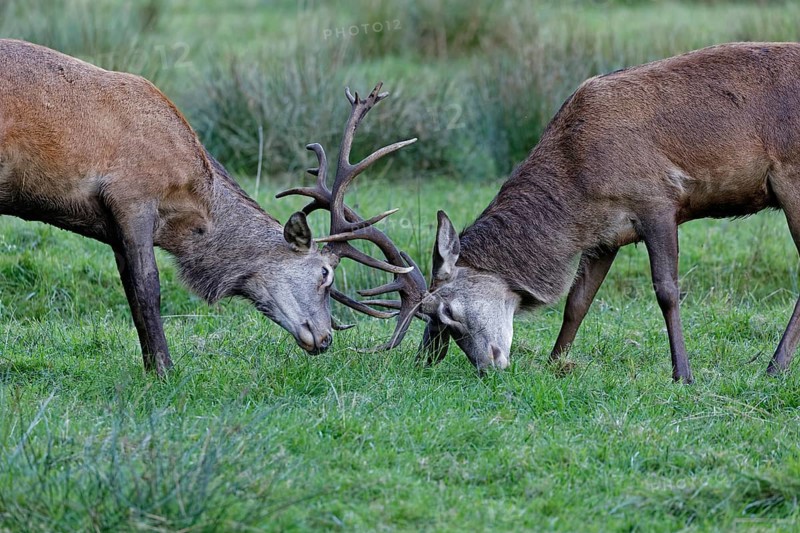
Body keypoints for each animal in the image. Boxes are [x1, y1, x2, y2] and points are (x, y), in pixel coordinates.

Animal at [0, 39, 416, 375]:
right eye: (325, 275)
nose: (326, 338)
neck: (188, 208)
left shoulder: (113, 226)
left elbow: (131, 293)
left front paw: (151, 366)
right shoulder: (132, 196)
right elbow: (147, 288)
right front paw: (165, 371)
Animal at [325, 42, 800, 383]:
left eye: (447, 315)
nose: (487, 368)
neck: (578, 184)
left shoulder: (658, 201)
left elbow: (666, 291)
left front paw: (683, 374)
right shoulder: (606, 235)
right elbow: (577, 301)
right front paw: (555, 362)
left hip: (792, 179)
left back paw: (774, 367)